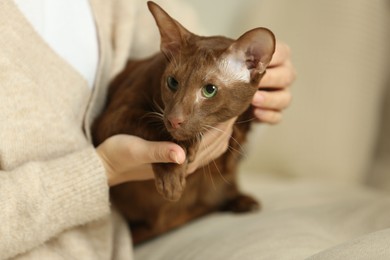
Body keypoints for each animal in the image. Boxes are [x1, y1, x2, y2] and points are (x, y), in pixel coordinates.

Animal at [92, 1, 274, 244]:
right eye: (172, 82)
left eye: (209, 90)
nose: (174, 119)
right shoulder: (109, 119)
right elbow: (152, 125)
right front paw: (173, 175)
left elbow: (234, 149)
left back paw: (242, 201)